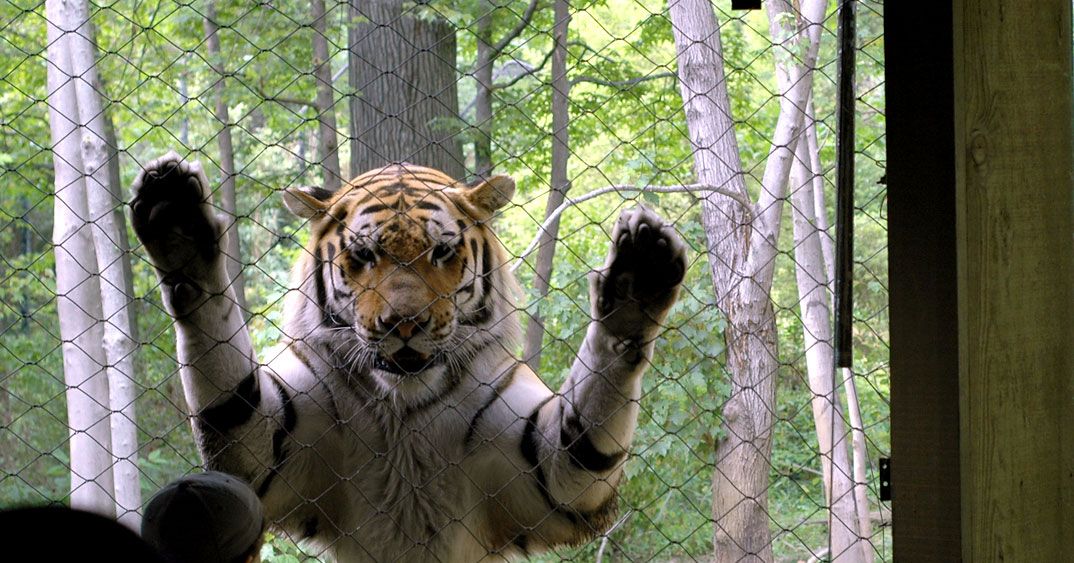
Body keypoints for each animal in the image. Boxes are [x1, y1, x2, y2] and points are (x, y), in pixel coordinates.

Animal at [130, 151, 687, 562]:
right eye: (363, 256)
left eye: (441, 253)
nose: (403, 324)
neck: (402, 409)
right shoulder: (266, 445)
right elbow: (227, 383)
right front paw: (178, 223)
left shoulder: (547, 470)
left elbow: (586, 434)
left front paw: (637, 283)